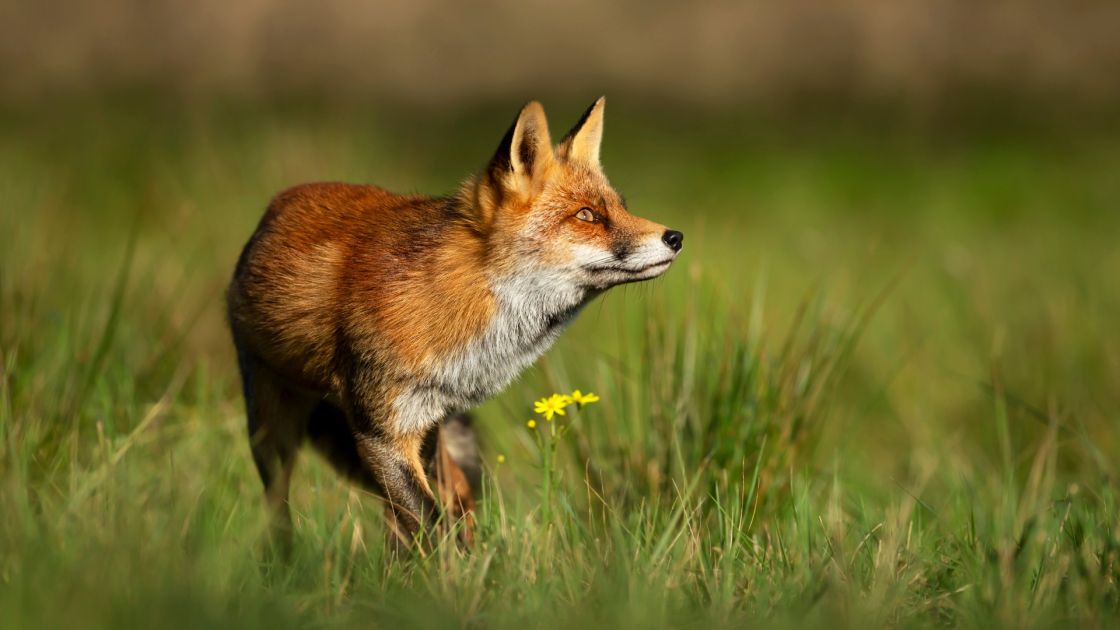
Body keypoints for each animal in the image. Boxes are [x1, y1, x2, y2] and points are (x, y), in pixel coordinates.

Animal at [226, 97, 683, 548]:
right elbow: (431, 524)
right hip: (271, 430)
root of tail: (274, 209)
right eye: (587, 216)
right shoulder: (382, 434)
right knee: (279, 508)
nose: (675, 237)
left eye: (621, 207)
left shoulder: (425, 419)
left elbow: (436, 513)